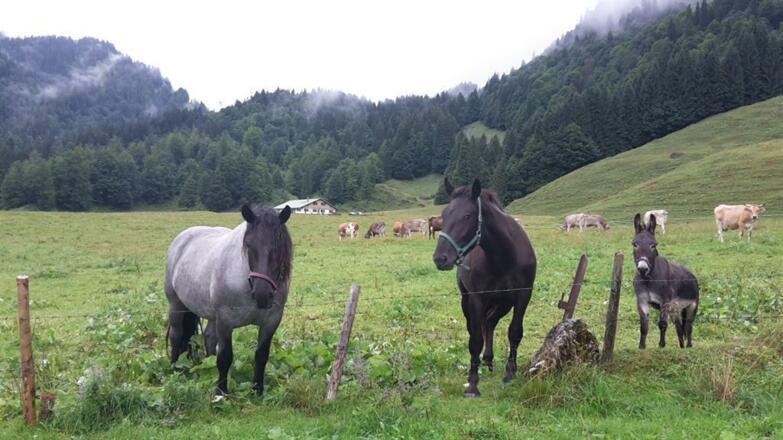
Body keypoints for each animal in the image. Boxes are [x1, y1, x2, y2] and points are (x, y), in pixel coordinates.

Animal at [165, 204, 293, 396]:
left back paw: (207, 367)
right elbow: (225, 358)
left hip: (211, 315)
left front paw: (258, 390)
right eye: (248, 244)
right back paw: (175, 369)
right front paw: (221, 392)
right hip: (176, 305)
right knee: (176, 335)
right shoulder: (225, 321)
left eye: (279, 245)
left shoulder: (271, 322)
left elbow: (261, 356)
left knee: (209, 338)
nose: (262, 295)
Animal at [432, 178, 537, 397]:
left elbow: (515, 332)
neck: (505, 257)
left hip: (503, 303)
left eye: (467, 216)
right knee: (480, 326)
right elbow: (475, 340)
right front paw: (472, 383)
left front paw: (510, 373)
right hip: (470, 302)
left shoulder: (523, 296)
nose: (440, 258)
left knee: (490, 323)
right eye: (444, 215)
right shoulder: (477, 299)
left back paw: (488, 359)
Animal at [632, 213, 699, 349]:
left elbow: (662, 324)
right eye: (634, 244)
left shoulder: (664, 302)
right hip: (676, 309)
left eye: (653, 245)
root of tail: (692, 275)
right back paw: (682, 347)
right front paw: (641, 347)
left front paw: (661, 346)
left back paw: (689, 346)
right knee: (679, 328)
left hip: (692, 306)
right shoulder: (642, 301)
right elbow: (643, 327)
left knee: (688, 327)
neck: (649, 280)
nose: (642, 269)